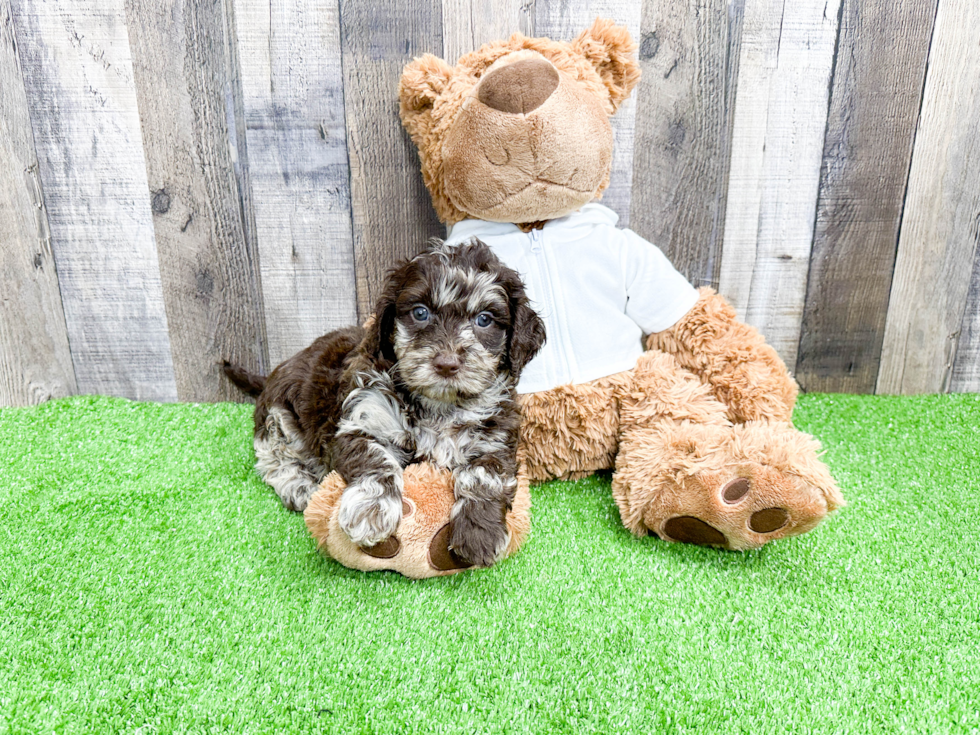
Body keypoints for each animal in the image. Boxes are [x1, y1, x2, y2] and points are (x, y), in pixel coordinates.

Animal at [223, 239, 548, 568]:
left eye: (484, 319)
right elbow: (375, 460)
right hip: (281, 414)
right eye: (420, 313)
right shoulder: (362, 418)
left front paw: (479, 532)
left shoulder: (495, 437)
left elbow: (485, 477)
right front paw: (371, 511)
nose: (446, 364)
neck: (438, 406)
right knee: (273, 456)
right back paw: (298, 485)